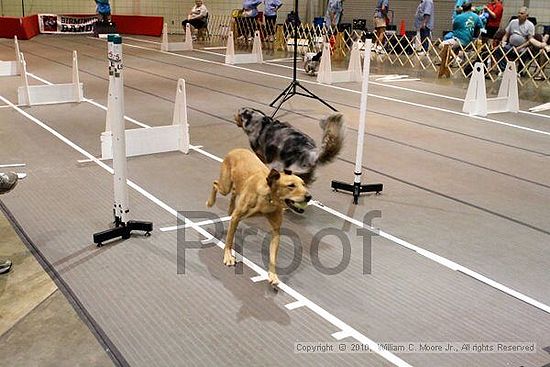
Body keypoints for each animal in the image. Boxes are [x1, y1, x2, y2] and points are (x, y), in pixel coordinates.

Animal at [208, 148, 312, 286]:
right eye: (291, 185)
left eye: (303, 184)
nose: (309, 196)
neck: (268, 199)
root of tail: (236, 149)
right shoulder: (236, 218)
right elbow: (229, 240)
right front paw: (228, 256)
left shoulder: (276, 230)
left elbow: (273, 257)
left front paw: (273, 275)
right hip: (225, 186)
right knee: (215, 183)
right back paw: (210, 202)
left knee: (234, 192)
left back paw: (230, 207)